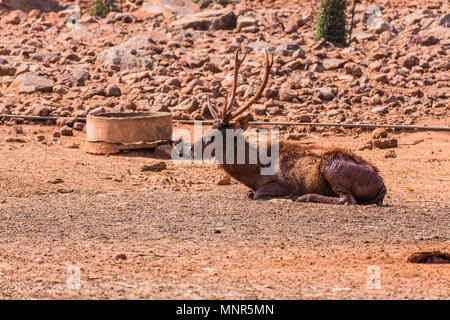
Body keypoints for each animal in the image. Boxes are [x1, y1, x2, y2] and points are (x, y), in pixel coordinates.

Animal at [192, 50, 384, 205]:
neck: (253, 172)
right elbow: (249, 193)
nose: (190, 149)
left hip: (334, 167)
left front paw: (290, 196)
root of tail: (382, 185)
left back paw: (305, 196)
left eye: (214, 136)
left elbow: (258, 194)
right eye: (206, 130)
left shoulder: (284, 183)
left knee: (347, 199)